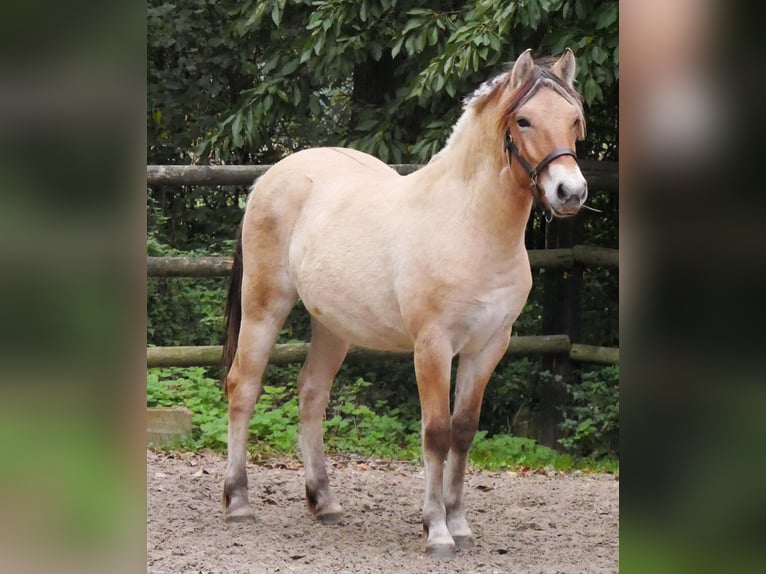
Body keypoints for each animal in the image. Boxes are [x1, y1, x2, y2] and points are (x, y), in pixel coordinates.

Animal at [220, 48, 588, 559]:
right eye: (524, 120)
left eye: (574, 120)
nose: (570, 193)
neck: (468, 225)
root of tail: (267, 179)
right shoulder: (432, 346)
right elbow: (436, 432)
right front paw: (436, 531)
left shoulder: (489, 347)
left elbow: (464, 431)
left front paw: (460, 524)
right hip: (264, 307)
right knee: (244, 387)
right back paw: (238, 502)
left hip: (332, 325)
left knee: (312, 393)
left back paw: (324, 502)